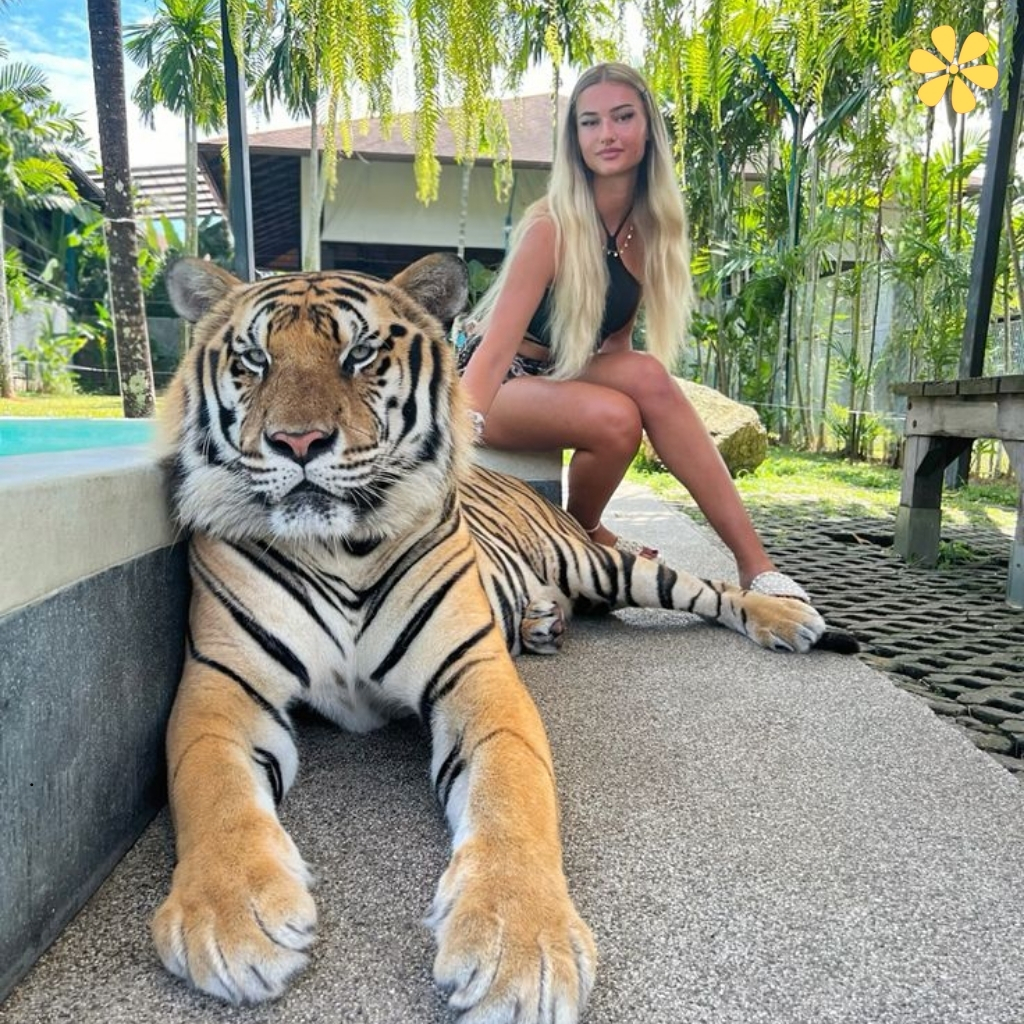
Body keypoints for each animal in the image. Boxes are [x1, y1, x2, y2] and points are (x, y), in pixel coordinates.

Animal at [154, 253, 855, 1023]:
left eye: (360, 354)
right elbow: (211, 788)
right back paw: (546, 623)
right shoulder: (221, 684)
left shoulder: (475, 672)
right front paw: (231, 921)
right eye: (254, 359)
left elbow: (512, 792)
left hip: (604, 566)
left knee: (701, 588)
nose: (299, 443)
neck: (339, 547)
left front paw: (520, 948)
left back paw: (784, 616)